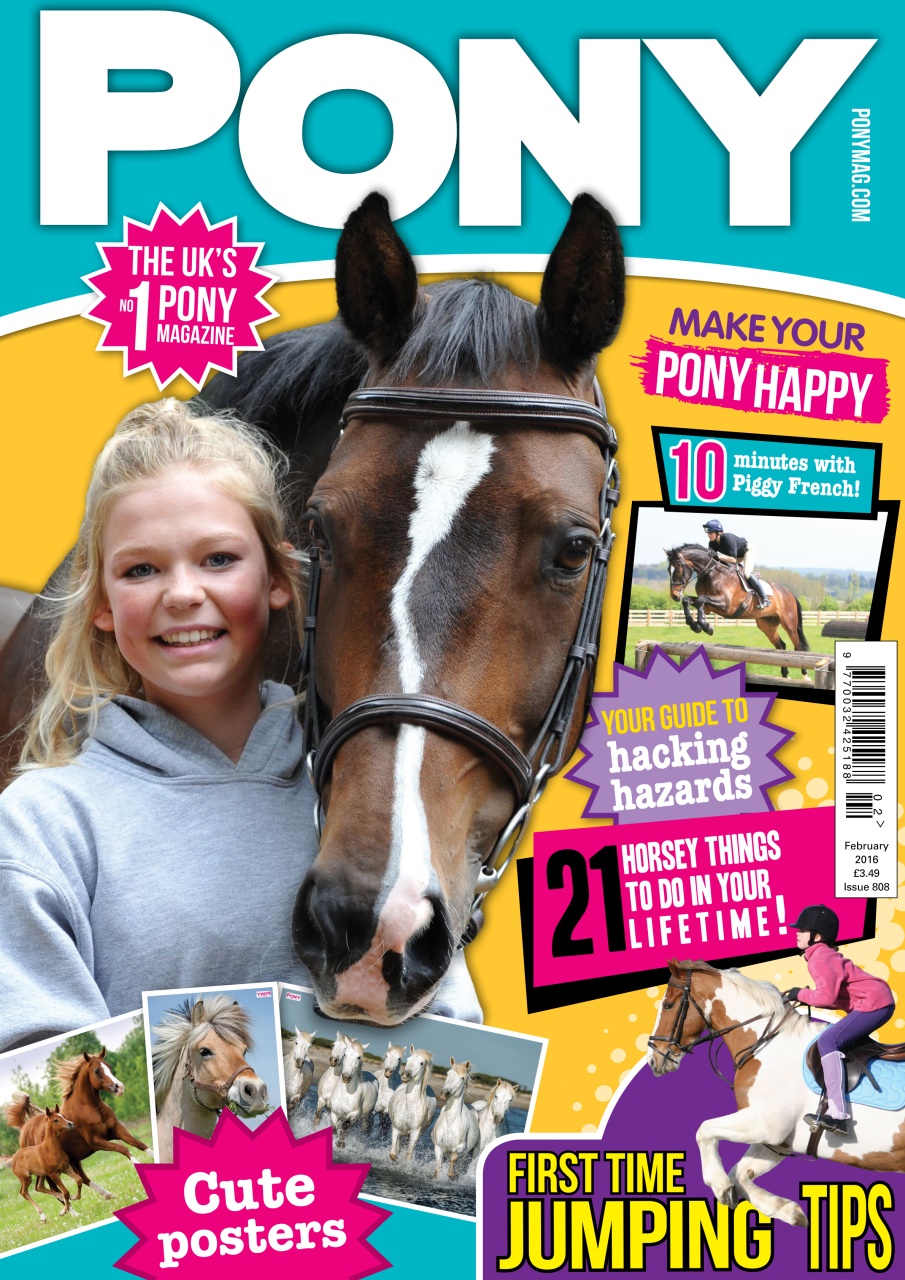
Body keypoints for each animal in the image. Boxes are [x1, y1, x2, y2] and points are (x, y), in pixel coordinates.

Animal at [7, 1047, 147, 1201]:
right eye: (96, 1070)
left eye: (109, 1066)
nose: (119, 1087)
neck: (90, 1108)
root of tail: (23, 1128)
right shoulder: (96, 1142)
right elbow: (124, 1149)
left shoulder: (116, 1130)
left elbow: (139, 1144)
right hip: (47, 1170)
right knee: (52, 1189)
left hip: (73, 1160)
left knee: (82, 1179)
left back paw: (107, 1195)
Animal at [647, 960, 905, 1227]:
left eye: (668, 1005)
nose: (653, 1060)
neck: (765, 1045)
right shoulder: (778, 1142)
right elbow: (740, 1174)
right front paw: (790, 1212)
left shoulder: (768, 1125)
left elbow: (704, 1130)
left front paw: (719, 1186)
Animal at [665, 544, 809, 678]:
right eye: (668, 570)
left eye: (678, 568)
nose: (674, 595)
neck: (711, 574)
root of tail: (788, 592)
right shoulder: (708, 608)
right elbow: (688, 600)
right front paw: (696, 625)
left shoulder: (726, 605)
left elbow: (701, 600)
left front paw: (705, 626)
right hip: (767, 625)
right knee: (781, 645)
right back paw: (785, 674)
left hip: (789, 624)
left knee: (798, 647)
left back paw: (804, 675)